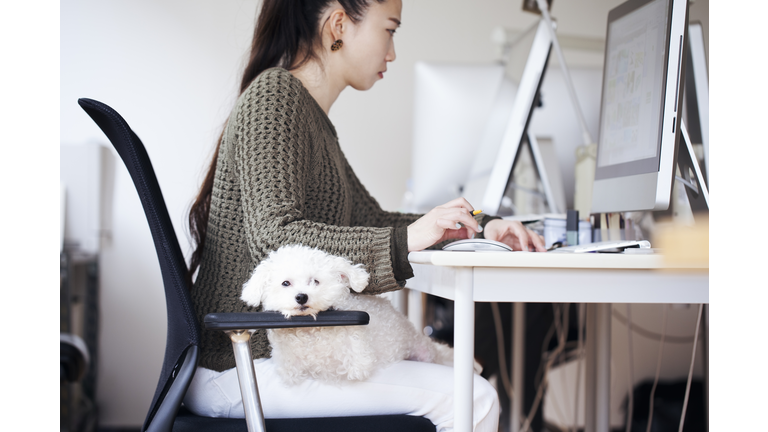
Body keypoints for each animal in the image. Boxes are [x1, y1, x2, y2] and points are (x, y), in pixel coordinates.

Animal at [240, 245, 480, 384]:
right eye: (285, 283)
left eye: (315, 281)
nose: (301, 297)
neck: (312, 328)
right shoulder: (290, 366)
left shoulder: (358, 357)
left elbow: (353, 364)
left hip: (424, 352)